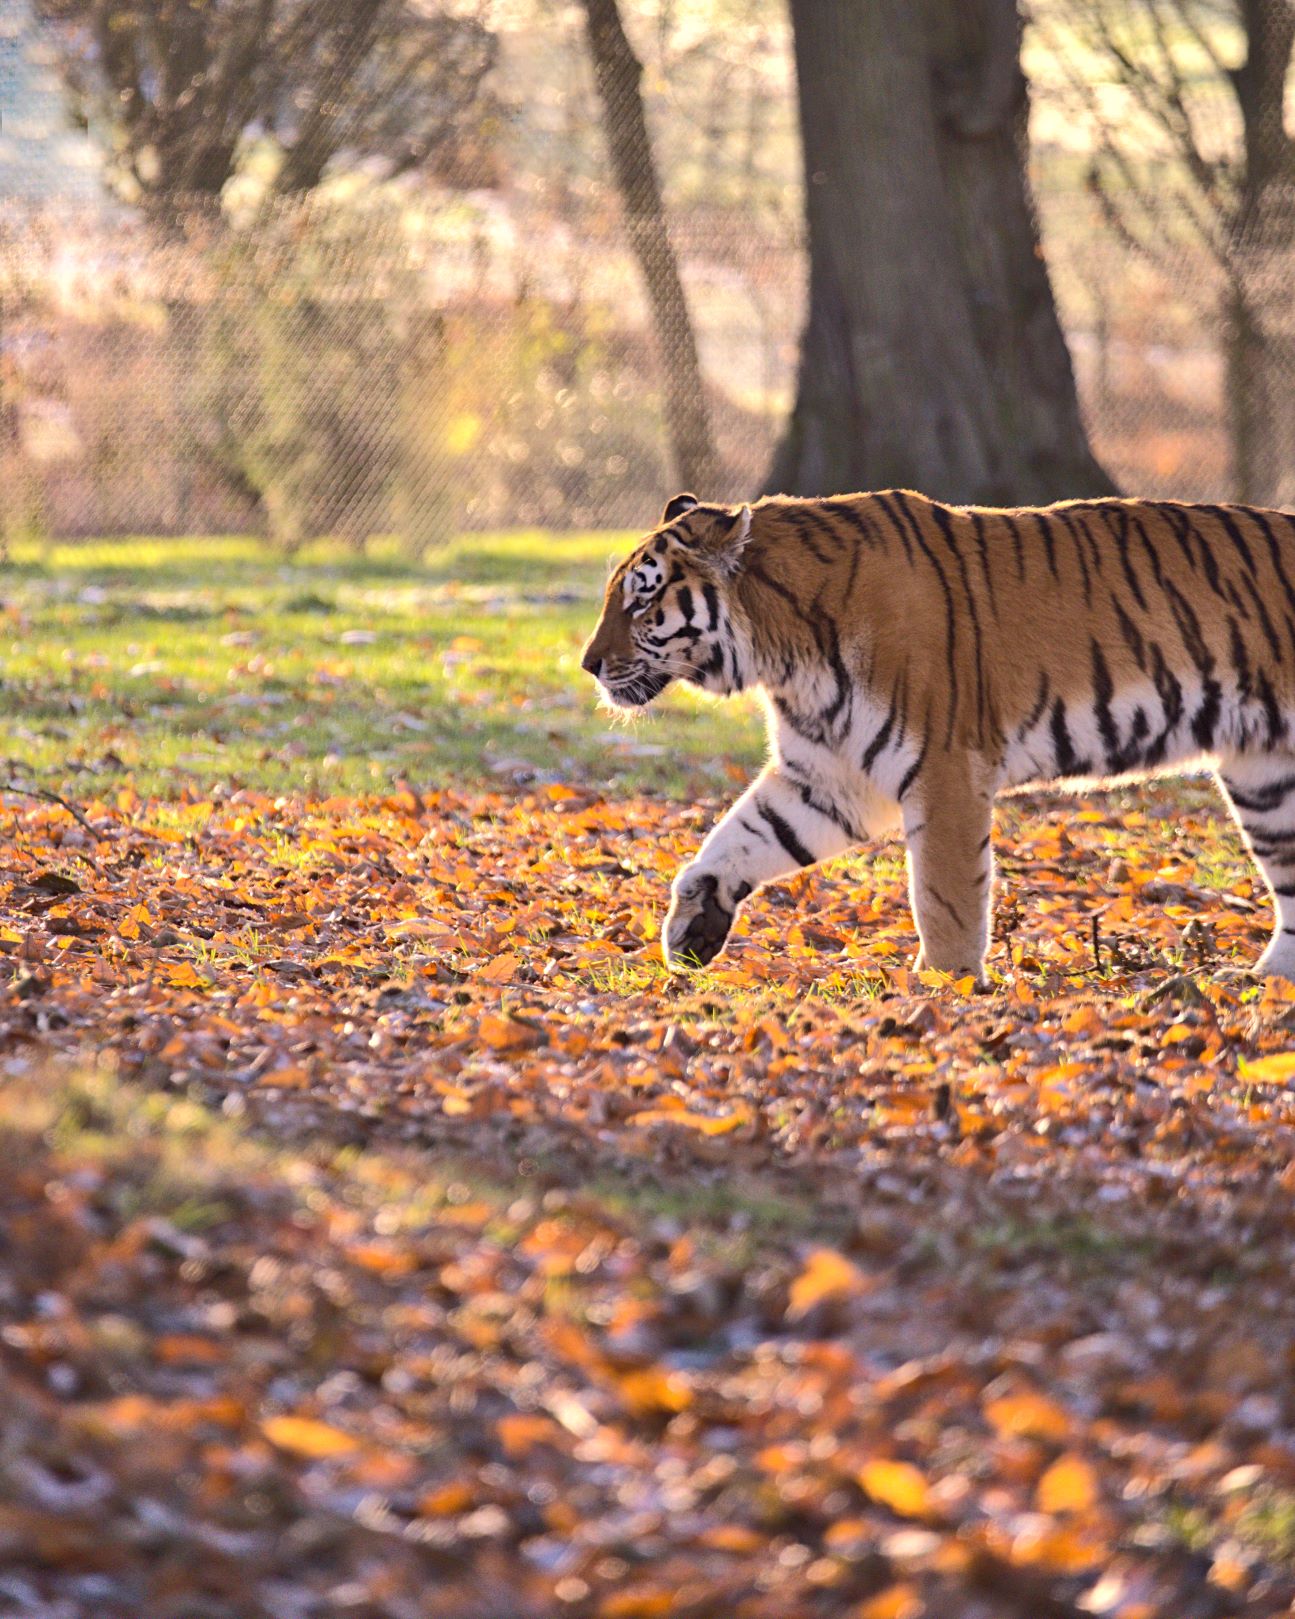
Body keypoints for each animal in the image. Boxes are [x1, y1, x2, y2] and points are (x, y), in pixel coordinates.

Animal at [579, 485, 1295, 977]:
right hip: (1266, 778)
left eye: (642, 598)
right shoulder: (829, 778)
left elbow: (944, 894)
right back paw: (1264, 981)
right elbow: (737, 838)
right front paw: (692, 928)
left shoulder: (945, 769)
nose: (587, 664)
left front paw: (943, 986)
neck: (781, 653)